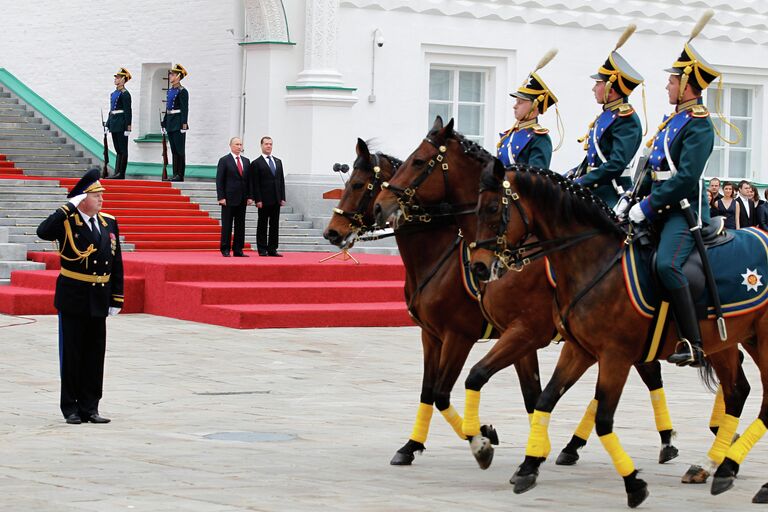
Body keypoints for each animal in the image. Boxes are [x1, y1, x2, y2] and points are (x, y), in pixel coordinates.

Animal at [468, 161, 760, 508]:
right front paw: (526, 463)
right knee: (737, 390)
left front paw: (633, 484)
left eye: (491, 208)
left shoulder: (604, 353)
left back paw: (723, 463)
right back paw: (716, 464)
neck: (592, 261)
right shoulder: (578, 349)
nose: (479, 267)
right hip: (726, 341)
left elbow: (601, 418)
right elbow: (543, 398)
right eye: (475, 208)